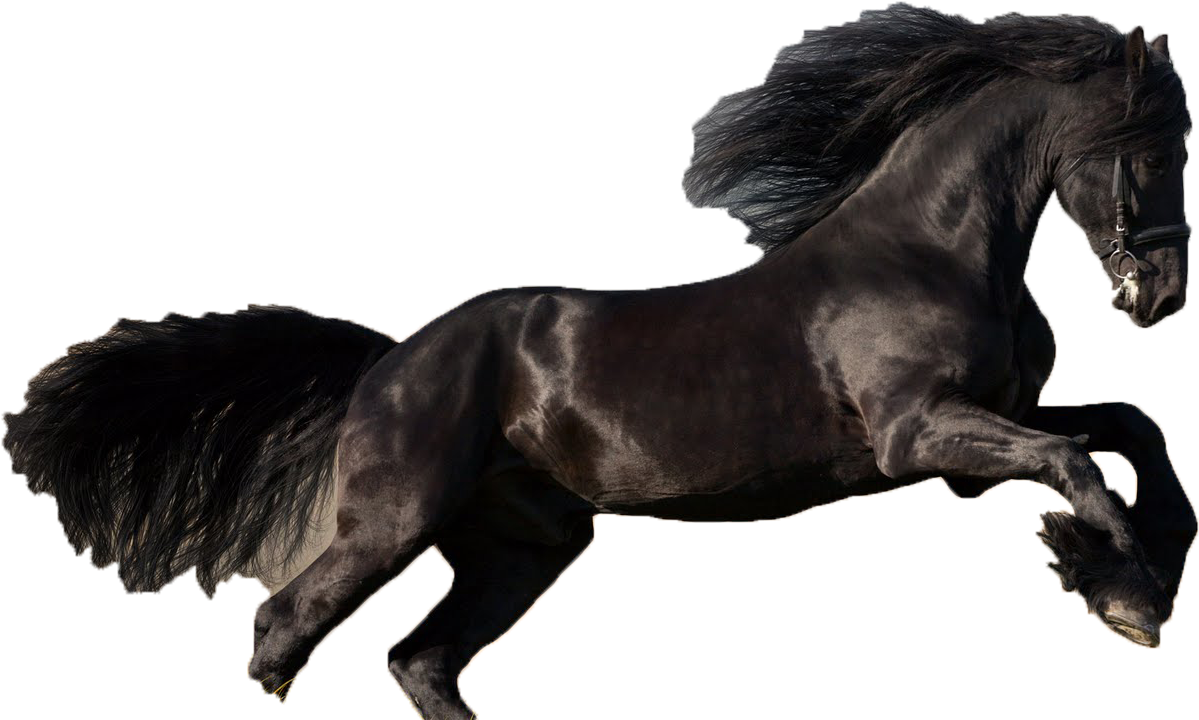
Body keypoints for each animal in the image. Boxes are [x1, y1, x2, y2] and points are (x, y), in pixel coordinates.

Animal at [3, 6, 1194, 718]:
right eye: (1144, 150)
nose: (1161, 297)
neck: (930, 251)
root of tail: (388, 363)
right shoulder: (919, 436)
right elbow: (1078, 463)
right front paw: (1123, 597)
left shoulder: (984, 435)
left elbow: (1126, 427)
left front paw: (1138, 566)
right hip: (393, 520)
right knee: (286, 624)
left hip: (523, 544)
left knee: (417, 660)